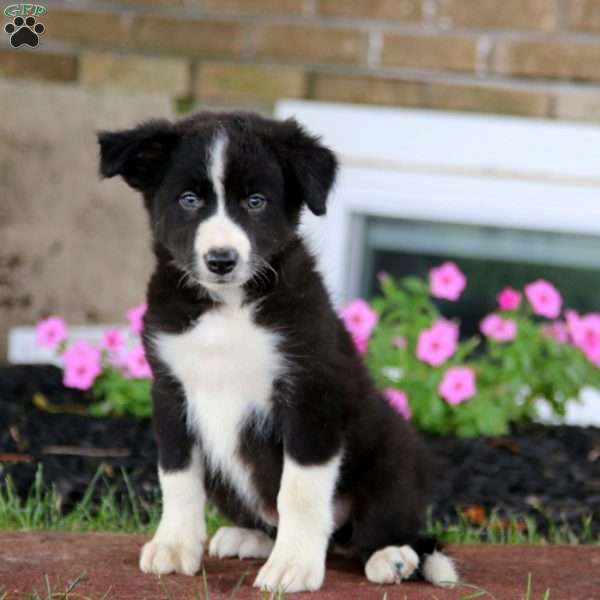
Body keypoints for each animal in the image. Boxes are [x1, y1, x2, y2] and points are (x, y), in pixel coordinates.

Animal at [98, 110, 458, 592]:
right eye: (189, 200)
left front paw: (293, 566)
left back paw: (393, 557)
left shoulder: (310, 394)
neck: (229, 306)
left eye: (256, 202)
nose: (221, 259)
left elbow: (300, 490)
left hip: (393, 456)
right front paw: (174, 545)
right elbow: (177, 476)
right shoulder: (170, 391)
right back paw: (247, 538)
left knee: (383, 528)